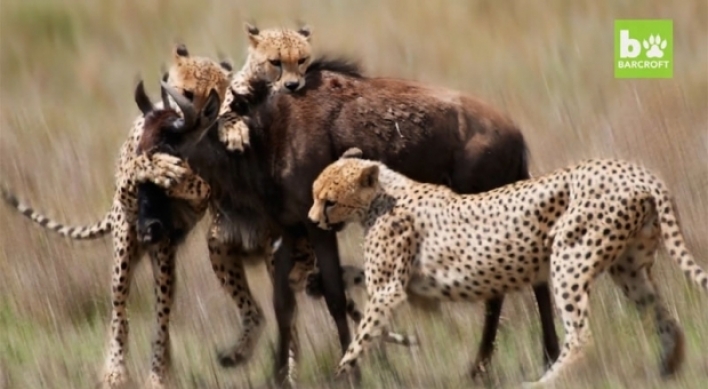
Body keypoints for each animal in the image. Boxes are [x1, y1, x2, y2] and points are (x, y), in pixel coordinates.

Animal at [308, 149, 708, 384]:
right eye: (314, 194)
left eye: (329, 201)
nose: (312, 220)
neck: (383, 195)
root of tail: (636, 171)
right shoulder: (408, 285)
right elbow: (355, 278)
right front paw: (316, 282)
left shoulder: (390, 291)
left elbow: (361, 338)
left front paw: (339, 375)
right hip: (629, 269)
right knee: (665, 318)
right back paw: (668, 367)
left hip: (568, 259)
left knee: (581, 337)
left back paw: (543, 383)